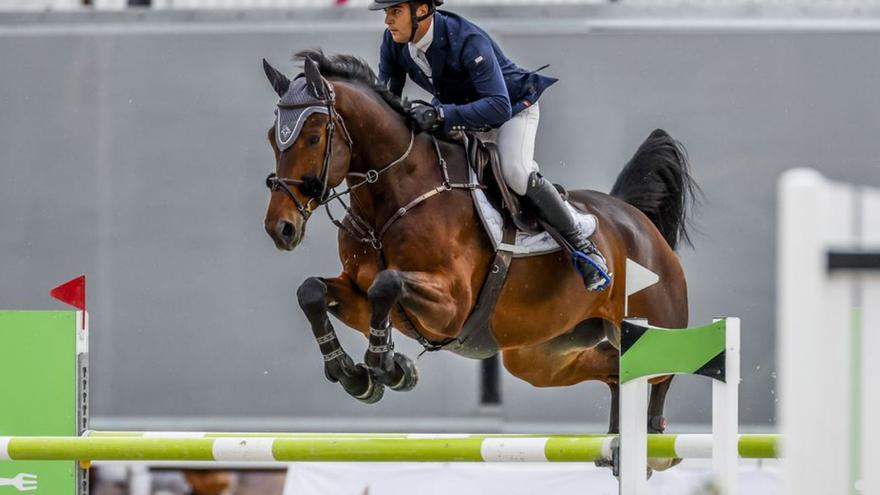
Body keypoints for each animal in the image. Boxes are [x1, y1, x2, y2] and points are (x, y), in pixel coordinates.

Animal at [258, 50, 696, 446]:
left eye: (313, 137)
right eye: (272, 139)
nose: (281, 228)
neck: (391, 200)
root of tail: (634, 219)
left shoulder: (451, 306)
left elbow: (388, 282)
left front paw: (387, 366)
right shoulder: (359, 293)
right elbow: (312, 291)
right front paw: (357, 375)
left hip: (650, 321)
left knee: (662, 369)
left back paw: (655, 438)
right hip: (540, 356)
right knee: (615, 369)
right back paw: (618, 438)